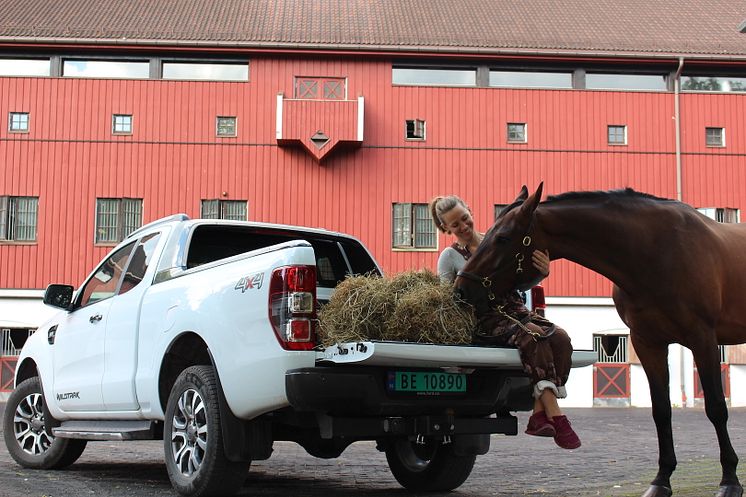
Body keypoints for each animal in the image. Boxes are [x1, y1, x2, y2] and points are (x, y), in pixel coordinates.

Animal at [456, 184, 740, 496]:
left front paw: (729, 480)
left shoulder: (703, 340)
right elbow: (661, 411)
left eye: (503, 237)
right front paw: (661, 480)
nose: (461, 289)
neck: (656, 252)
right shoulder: (648, 344)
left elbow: (716, 408)